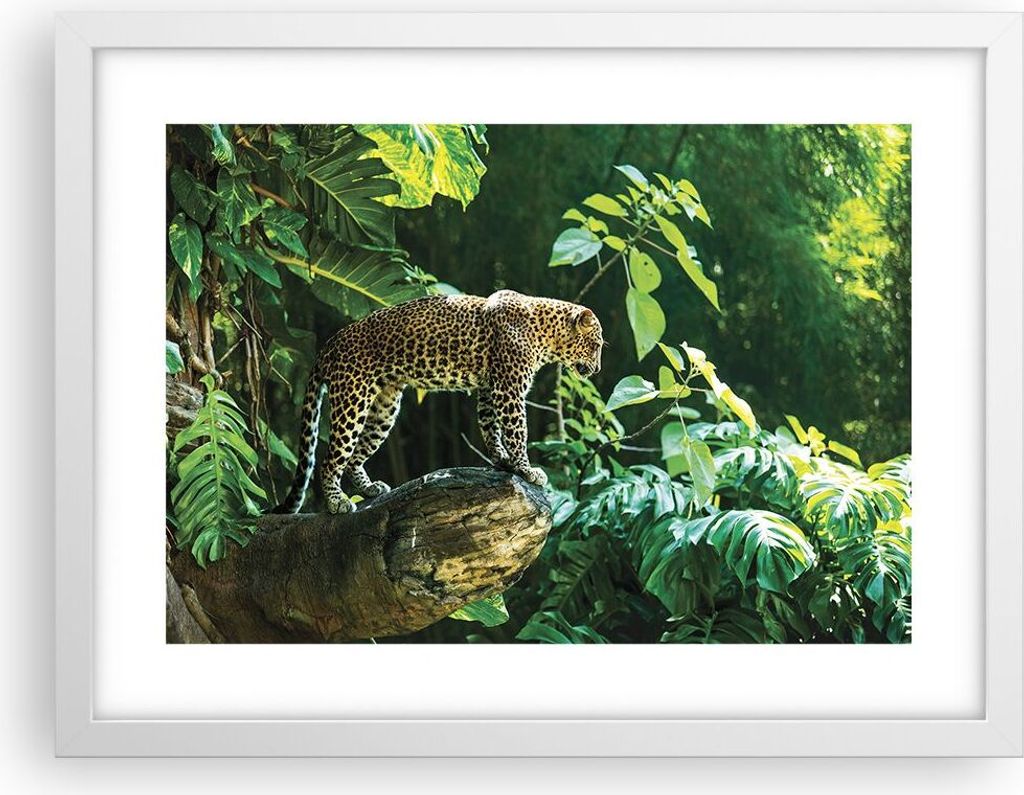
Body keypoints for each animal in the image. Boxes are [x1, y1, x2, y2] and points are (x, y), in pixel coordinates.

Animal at [271, 289, 604, 515]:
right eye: (596, 344)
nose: (598, 369)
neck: (545, 332)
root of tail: (329, 344)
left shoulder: (490, 389)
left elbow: (490, 428)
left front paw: (502, 461)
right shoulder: (509, 390)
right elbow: (516, 431)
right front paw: (526, 469)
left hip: (384, 407)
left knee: (354, 457)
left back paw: (369, 489)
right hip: (352, 399)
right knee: (330, 459)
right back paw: (337, 502)